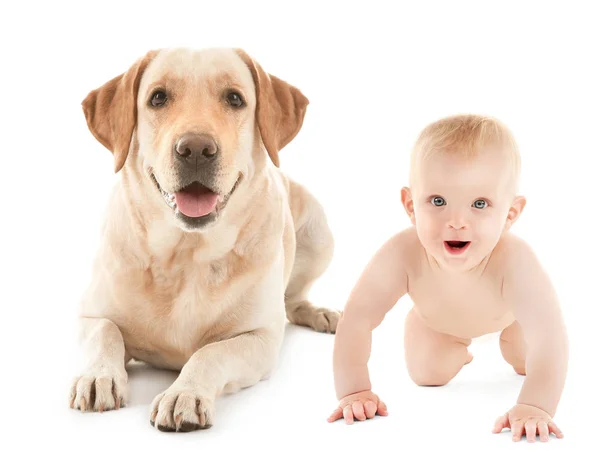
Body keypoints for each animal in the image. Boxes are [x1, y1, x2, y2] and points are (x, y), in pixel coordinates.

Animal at [68, 47, 340, 432]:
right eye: (157, 97)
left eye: (235, 98)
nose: (195, 149)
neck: (185, 256)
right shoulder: (89, 314)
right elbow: (104, 331)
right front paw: (99, 376)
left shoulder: (258, 338)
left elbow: (209, 352)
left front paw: (185, 393)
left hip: (319, 231)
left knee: (293, 299)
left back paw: (320, 313)